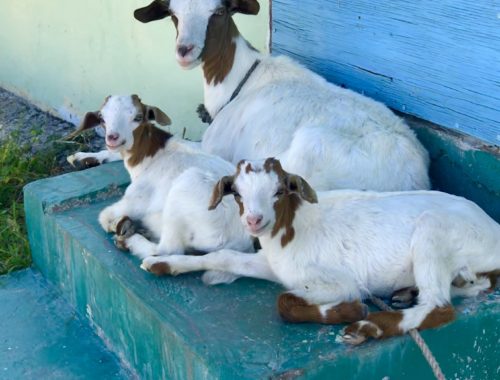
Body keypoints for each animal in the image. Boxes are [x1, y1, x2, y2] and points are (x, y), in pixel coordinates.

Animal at [135, 0, 432, 190]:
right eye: (173, 14)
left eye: (219, 11)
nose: (185, 50)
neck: (240, 80)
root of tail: (416, 179)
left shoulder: (216, 147)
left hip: (307, 153)